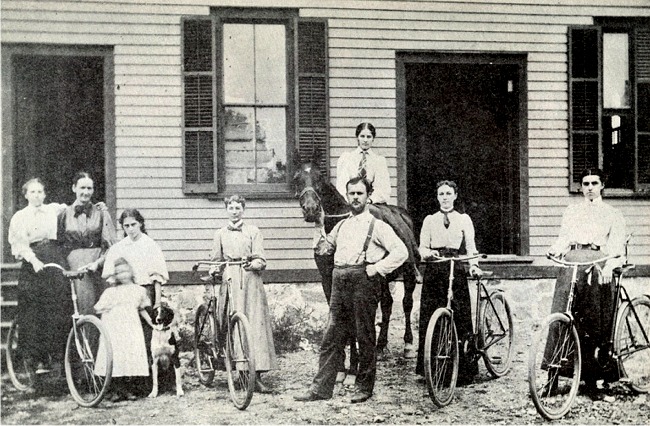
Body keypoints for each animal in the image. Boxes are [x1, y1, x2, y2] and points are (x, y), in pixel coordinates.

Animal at [292, 154, 418, 362]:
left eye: (320, 177)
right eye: (296, 179)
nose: (311, 209)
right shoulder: (328, 279)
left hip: (407, 274)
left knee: (406, 303)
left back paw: (407, 344)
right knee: (388, 304)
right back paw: (381, 345)